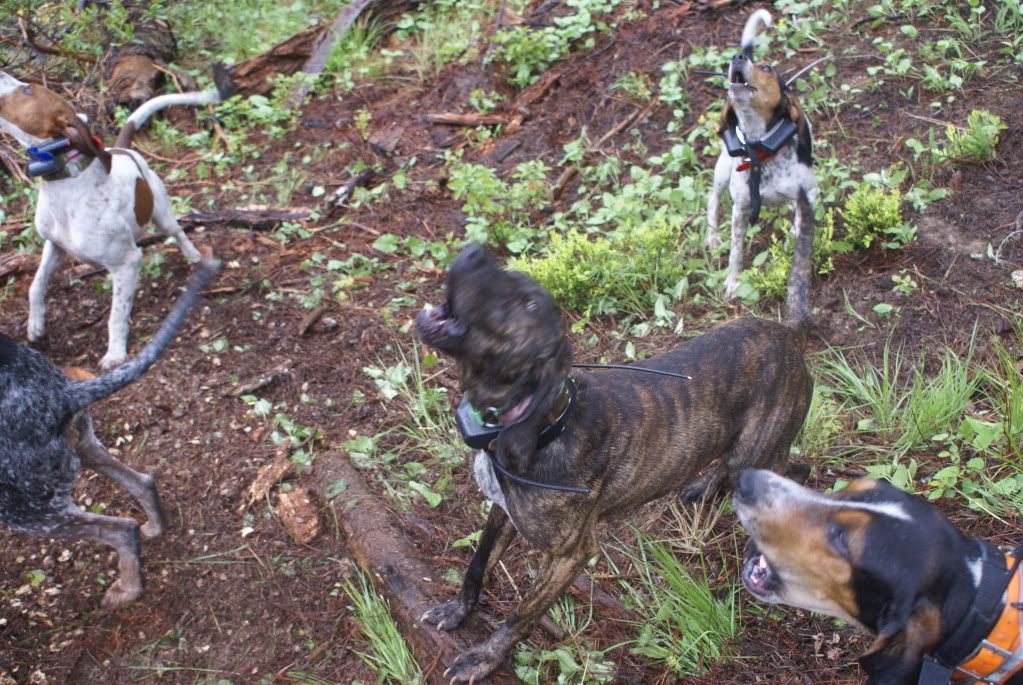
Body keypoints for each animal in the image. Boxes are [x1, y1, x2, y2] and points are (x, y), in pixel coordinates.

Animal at [0, 70, 226, 369]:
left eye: (27, 90)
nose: (1, 72)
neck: (65, 186)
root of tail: (123, 150)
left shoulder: (127, 262)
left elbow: (116, 316)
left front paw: (116, 353)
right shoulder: (55, 247)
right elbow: (35, 286)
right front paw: (36, 326)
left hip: (162, 213)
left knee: (179, 233)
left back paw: (194, 256)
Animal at [0, 259, 217, 610]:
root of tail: (64, 393)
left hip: (25, 508)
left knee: (122, 530)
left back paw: (127, 590)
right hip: (81, 449)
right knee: (143, 482)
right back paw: (154, 527)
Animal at [414, 244, 813, 682]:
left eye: (529, 303)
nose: (473, 251)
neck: (548, 425)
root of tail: (789, 335)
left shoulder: (570, 556)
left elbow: (522, 613)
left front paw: (484, 656)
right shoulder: (502, 512)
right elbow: (476, 565)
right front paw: (457, 611)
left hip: (761, 452)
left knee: (795, 475)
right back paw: (704, 485)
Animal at [706, 9, 817, 322]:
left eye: (766, 68)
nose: (737, 57)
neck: (761, 152)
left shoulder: (809, 192)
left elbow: (802, 223)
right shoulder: (740, 209)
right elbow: (736, 253)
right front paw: (733, 284)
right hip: (722, 171)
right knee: (711, 199)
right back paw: (712, 238)